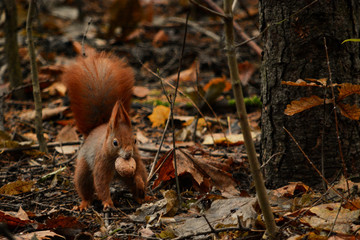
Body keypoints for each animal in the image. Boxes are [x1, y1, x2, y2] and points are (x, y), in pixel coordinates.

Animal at [62, 45, 148, 210]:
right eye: (115, 142)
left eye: (135, 140)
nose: (128, 154)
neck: (116, 159)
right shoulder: (101, 162)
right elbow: (101, 183)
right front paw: (108, 202)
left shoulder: (137, 159)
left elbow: (139, 173)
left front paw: (140, 183)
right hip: (83, 170)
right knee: (85, 186)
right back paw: (84, 203)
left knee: (135, 183)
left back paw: (142, 197)